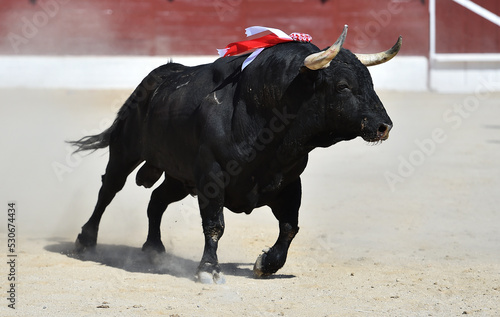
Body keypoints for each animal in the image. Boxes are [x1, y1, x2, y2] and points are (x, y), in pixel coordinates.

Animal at [70, 27, 400, 282]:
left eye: (370, 82)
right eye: (343, 86)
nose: (384, 126)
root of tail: (160, 75)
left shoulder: (289, 181)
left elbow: (290, 227)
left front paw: (266, 265)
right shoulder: (212, 176)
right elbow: (215, 225)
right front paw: (208, 270)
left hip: (180, 178)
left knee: (157, 200)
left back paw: (154, 250)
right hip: (126, 151)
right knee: (109, 189)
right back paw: (85, 240)